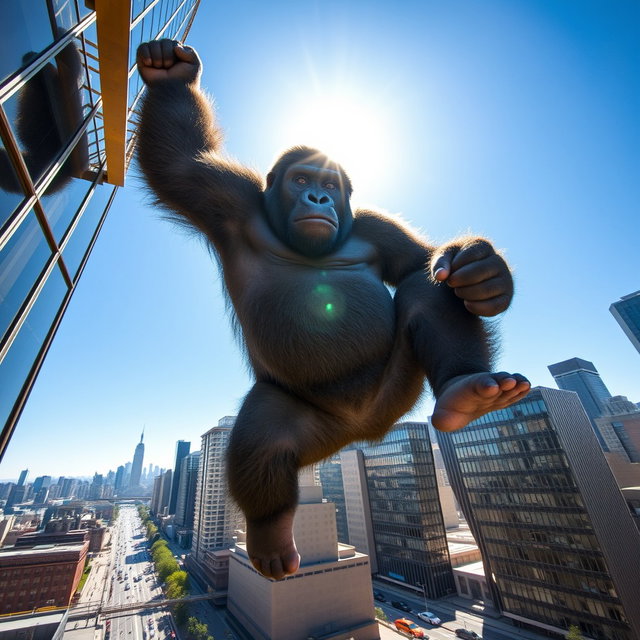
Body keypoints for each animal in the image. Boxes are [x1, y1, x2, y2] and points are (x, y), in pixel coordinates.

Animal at [136, 39, 530, 581]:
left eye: (329, 183)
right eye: (301, 177)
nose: (318, 195)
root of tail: (364, 432)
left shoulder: (373, 224)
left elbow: (417, 261)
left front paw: (485, 273)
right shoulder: (226, 195)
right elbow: (179, 164)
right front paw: (169, 74)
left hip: (398, 388)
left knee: (424, 288)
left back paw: (466, 388)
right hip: (311, 420)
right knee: (263, 439)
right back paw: (270, 537)